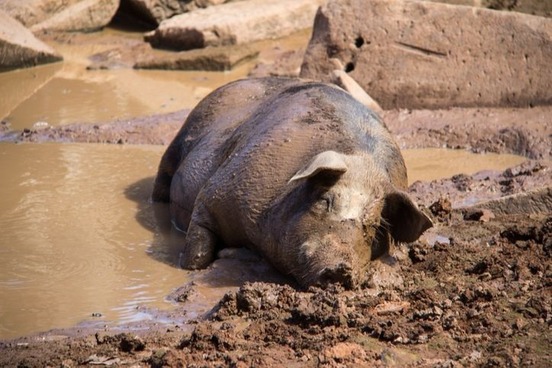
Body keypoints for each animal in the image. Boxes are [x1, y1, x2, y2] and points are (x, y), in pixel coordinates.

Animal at [153, 77, 434, 288]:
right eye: (325, 200)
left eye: (374, 226)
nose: (341, 268)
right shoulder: (215, 192)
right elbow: (198, 249)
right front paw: (190, 262)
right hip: (173, 151)